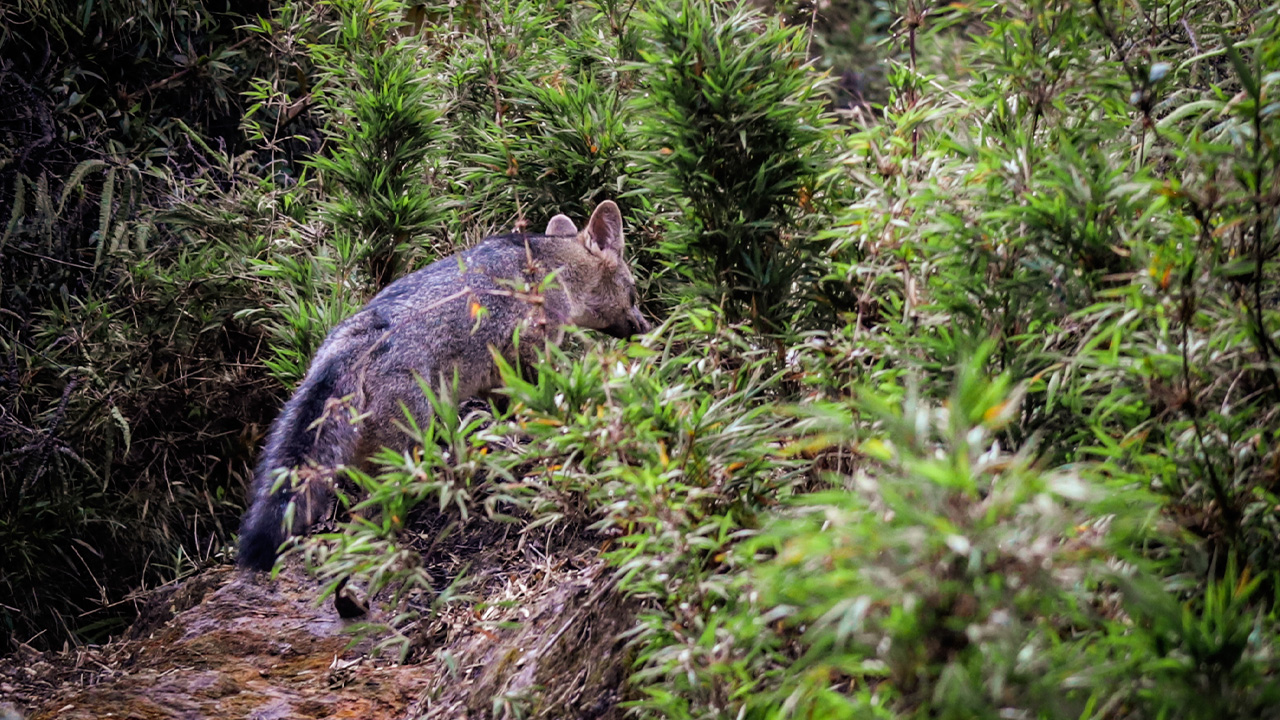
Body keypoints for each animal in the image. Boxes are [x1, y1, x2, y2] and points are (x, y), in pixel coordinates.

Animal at [235, 198, 645, 568]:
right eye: (633, 292)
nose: (645, 327)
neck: (552, 261)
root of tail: (352, 343)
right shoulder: (531, 350)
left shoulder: (493, 375)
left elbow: (508, 413)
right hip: (408, 446)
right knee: (372, 516)